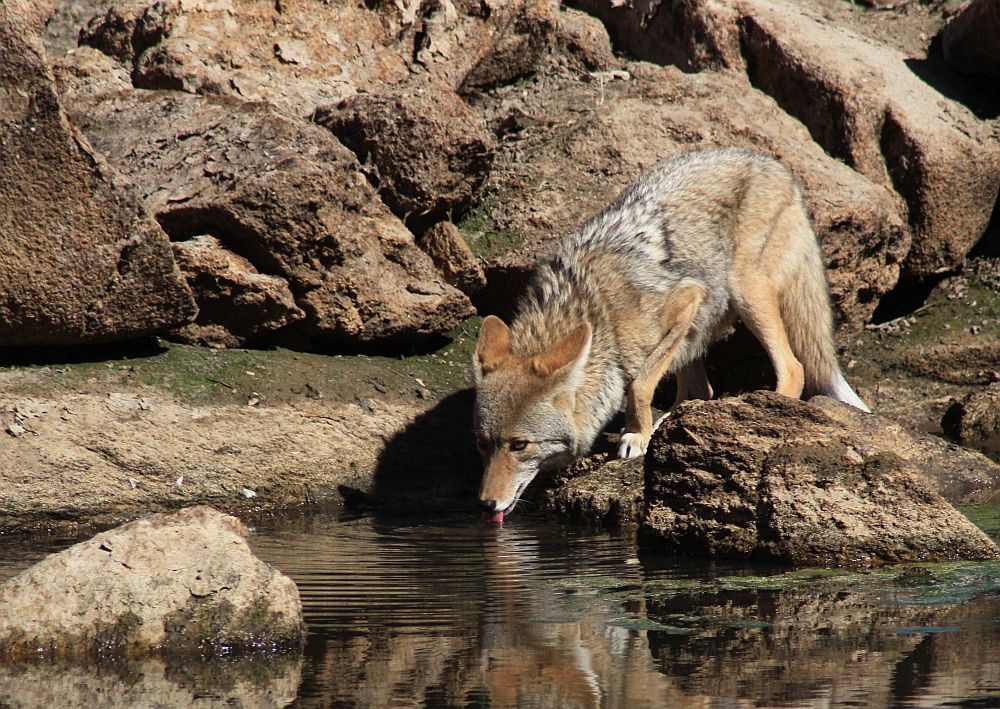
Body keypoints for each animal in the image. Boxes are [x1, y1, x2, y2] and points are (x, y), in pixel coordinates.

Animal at [472, 148, 872, 520]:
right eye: (483, 445)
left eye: (519, 445)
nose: (486, 503)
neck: (599, 315)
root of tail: (772, 164)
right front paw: (645, 431)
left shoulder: (688, 300)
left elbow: (638, 386)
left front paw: (635, 435)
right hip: (701, 331)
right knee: (702, 391)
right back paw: (670, 424)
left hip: (744, 294)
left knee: (793, 368)